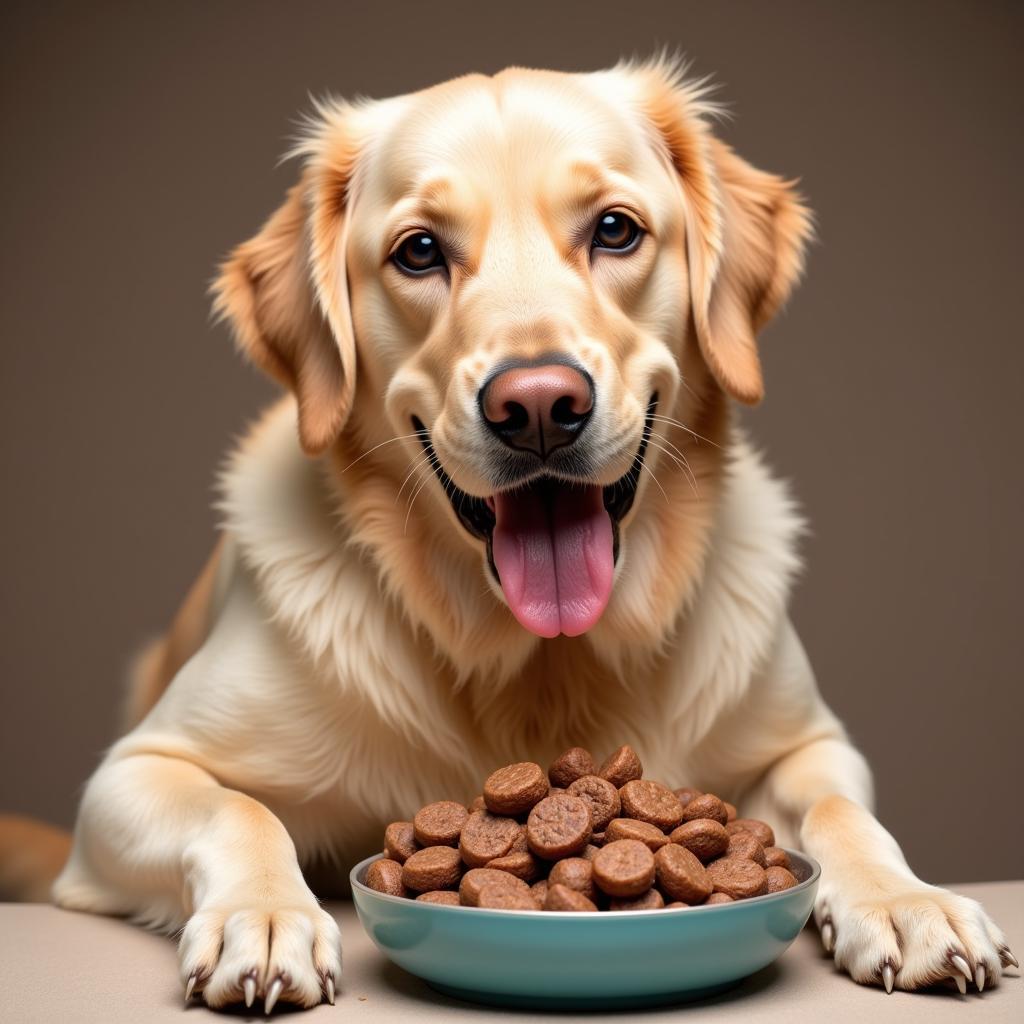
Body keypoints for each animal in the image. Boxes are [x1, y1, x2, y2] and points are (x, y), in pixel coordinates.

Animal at [9, 59, 1015, 1011]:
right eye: (418, 251)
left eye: (615, 230)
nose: (537, 407)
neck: (537, 662)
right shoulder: (135, 771)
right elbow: (239, 814)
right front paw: (263, 916)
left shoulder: (808, 743)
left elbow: (841, 809)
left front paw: (906, 901)